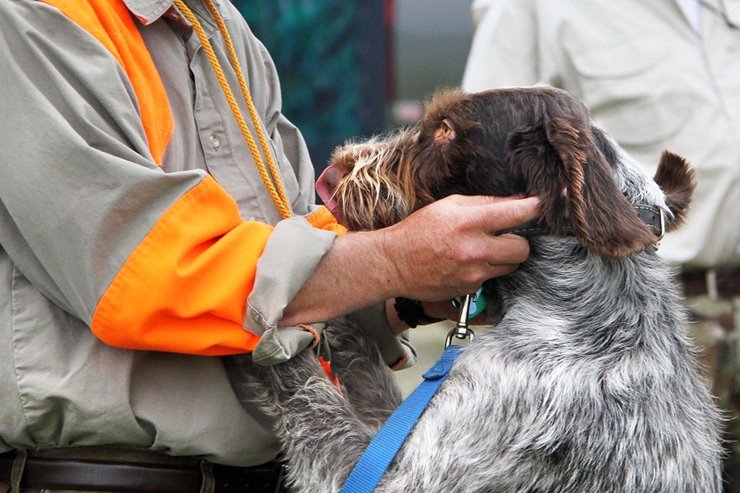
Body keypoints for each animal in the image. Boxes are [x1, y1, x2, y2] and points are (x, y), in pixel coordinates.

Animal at [227, 87, 724, 492]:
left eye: (445, 130)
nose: (331, 174)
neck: (584, 313)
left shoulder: (386, 476)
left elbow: (309, 393)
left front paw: (267, 327)